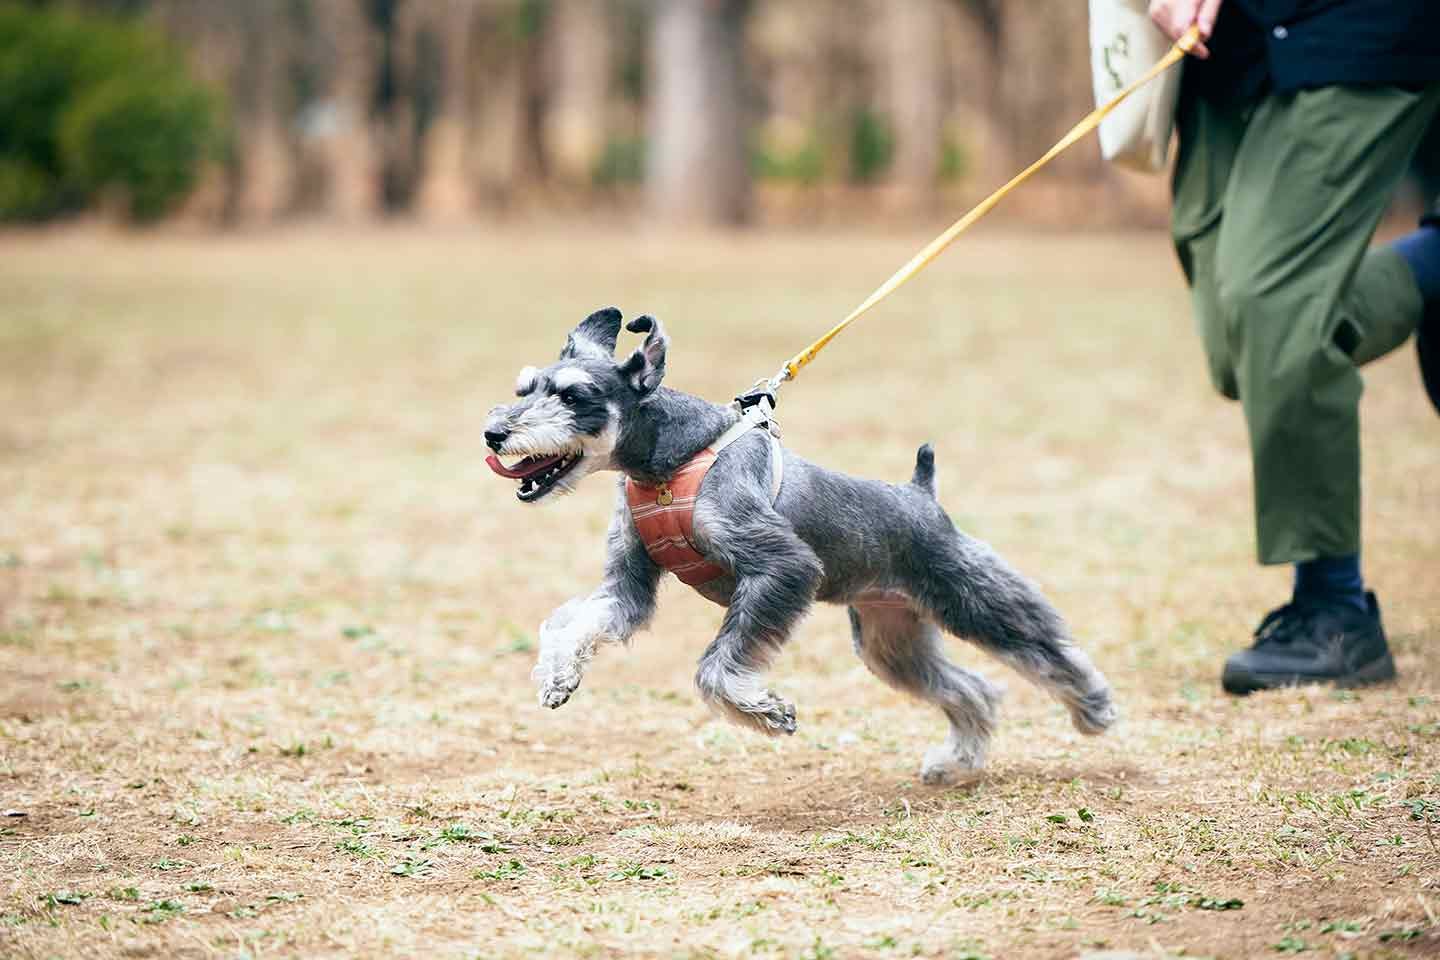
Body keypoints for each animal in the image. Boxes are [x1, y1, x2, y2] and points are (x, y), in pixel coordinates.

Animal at [489, 312, 1117, 782]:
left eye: (575, 397)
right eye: (525, 388)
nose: (494, 433)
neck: (667, 461)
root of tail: (923, 495)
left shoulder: (779, 567)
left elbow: (717, 667)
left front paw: (767, 713)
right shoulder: (628, 587)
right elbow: (573, 620)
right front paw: (557, 677)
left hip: (972, 599)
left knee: (1044, 648)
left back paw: (1095, 708)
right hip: (890, 641)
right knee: (974, 689)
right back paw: (958, 761)